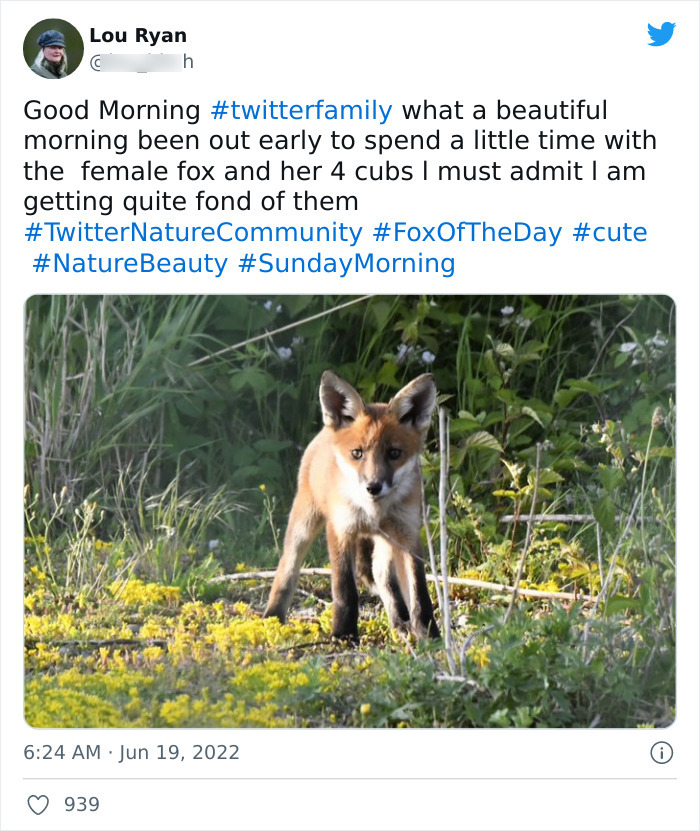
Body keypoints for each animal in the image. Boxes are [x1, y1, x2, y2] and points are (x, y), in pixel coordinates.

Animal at [264, 371, 439, 641]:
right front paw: (343, 634)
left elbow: (419, 592)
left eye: (394, 453)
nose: (373, 487)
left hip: (386, 540)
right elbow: (345, 591)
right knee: (287, 568)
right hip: (304, 524)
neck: (374, 513)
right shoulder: (340, 530)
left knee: (381, 575)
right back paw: (272, 617)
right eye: (357, 453)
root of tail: (325, 430)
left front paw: (429, 633)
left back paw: (400, 623)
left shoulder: (408, 535)